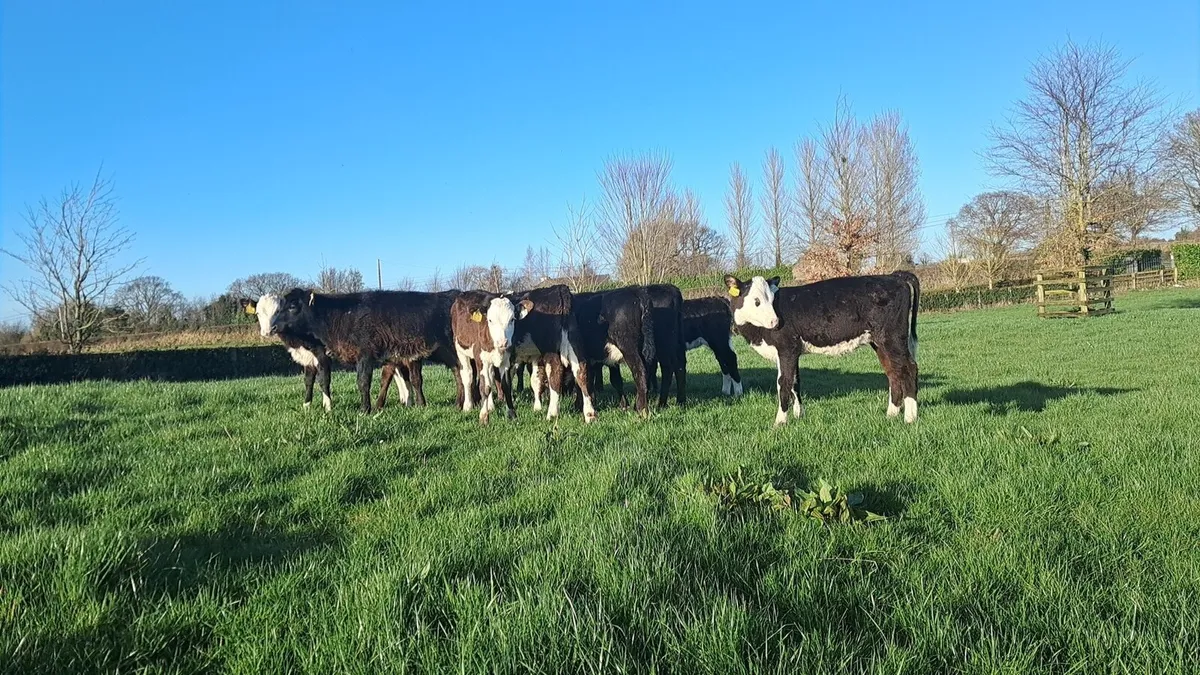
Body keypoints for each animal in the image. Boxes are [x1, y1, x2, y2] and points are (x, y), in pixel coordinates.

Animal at [265, 288, 466, 414]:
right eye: (280, 306)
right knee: (457, 371)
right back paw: (458, 403)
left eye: (292, 306)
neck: (341, 316)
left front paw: (365, 409)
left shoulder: (365, 355)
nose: (272, 327)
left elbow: (363, 382)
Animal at [449, 290, 531, 423]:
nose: (503, 342)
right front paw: (483, 417)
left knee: (491, 377)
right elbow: (484, 387)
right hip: (461, 350)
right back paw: (467, 406)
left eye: (512, 319)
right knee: (467, 376)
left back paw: (491, 406)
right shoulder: (481, 360)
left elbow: (506, 386)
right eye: (490, 320)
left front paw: (512, 415)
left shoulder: (506, 361)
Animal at [724, 271, 920, 426]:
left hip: (893, 338)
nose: (775, 321)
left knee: (909, 368)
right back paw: (891, 414)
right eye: (756, 301)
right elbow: (795, 382)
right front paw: (799, 415)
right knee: (893, 373)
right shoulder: (790, 352)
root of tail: (894, 276)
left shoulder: (787, 349)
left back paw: (910, 418)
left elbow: (783, 383)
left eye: (772, 299)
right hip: (880, 342)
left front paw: (780, 422)